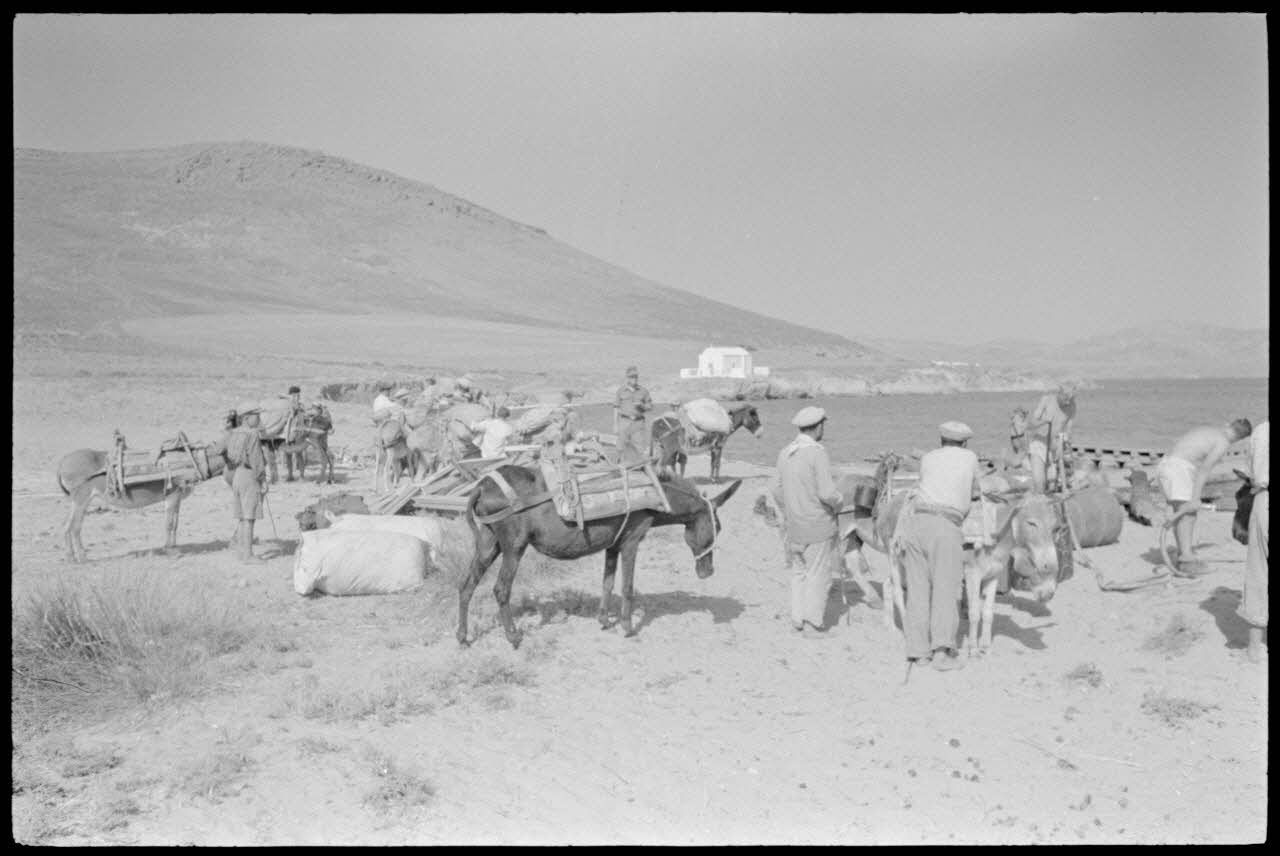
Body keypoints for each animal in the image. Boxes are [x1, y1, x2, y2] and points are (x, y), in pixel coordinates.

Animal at [56, 446, 229, 563]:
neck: (194, 461)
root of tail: (62, 461)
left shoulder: (178, 498)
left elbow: (176, 523)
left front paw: (174, 548)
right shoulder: (172, 496)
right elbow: (169, 524)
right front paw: (170, 551)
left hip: (75, 501)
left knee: (66, 525)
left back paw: (70, 557)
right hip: (82, 499)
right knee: (75, 526)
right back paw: (82, 557)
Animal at [458, 465, 743, 649]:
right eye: (717, 528)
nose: (708, 572)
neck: (655, 494)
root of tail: (482, 486)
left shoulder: (612, 546)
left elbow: (607, 582)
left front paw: (604, 620)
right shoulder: (631, 541)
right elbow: (627, 587)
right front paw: (628, 628)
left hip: (489, 543)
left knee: (467, 586)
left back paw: (462, 637)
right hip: (514, 546)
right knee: (501, 589)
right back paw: (513, 636)